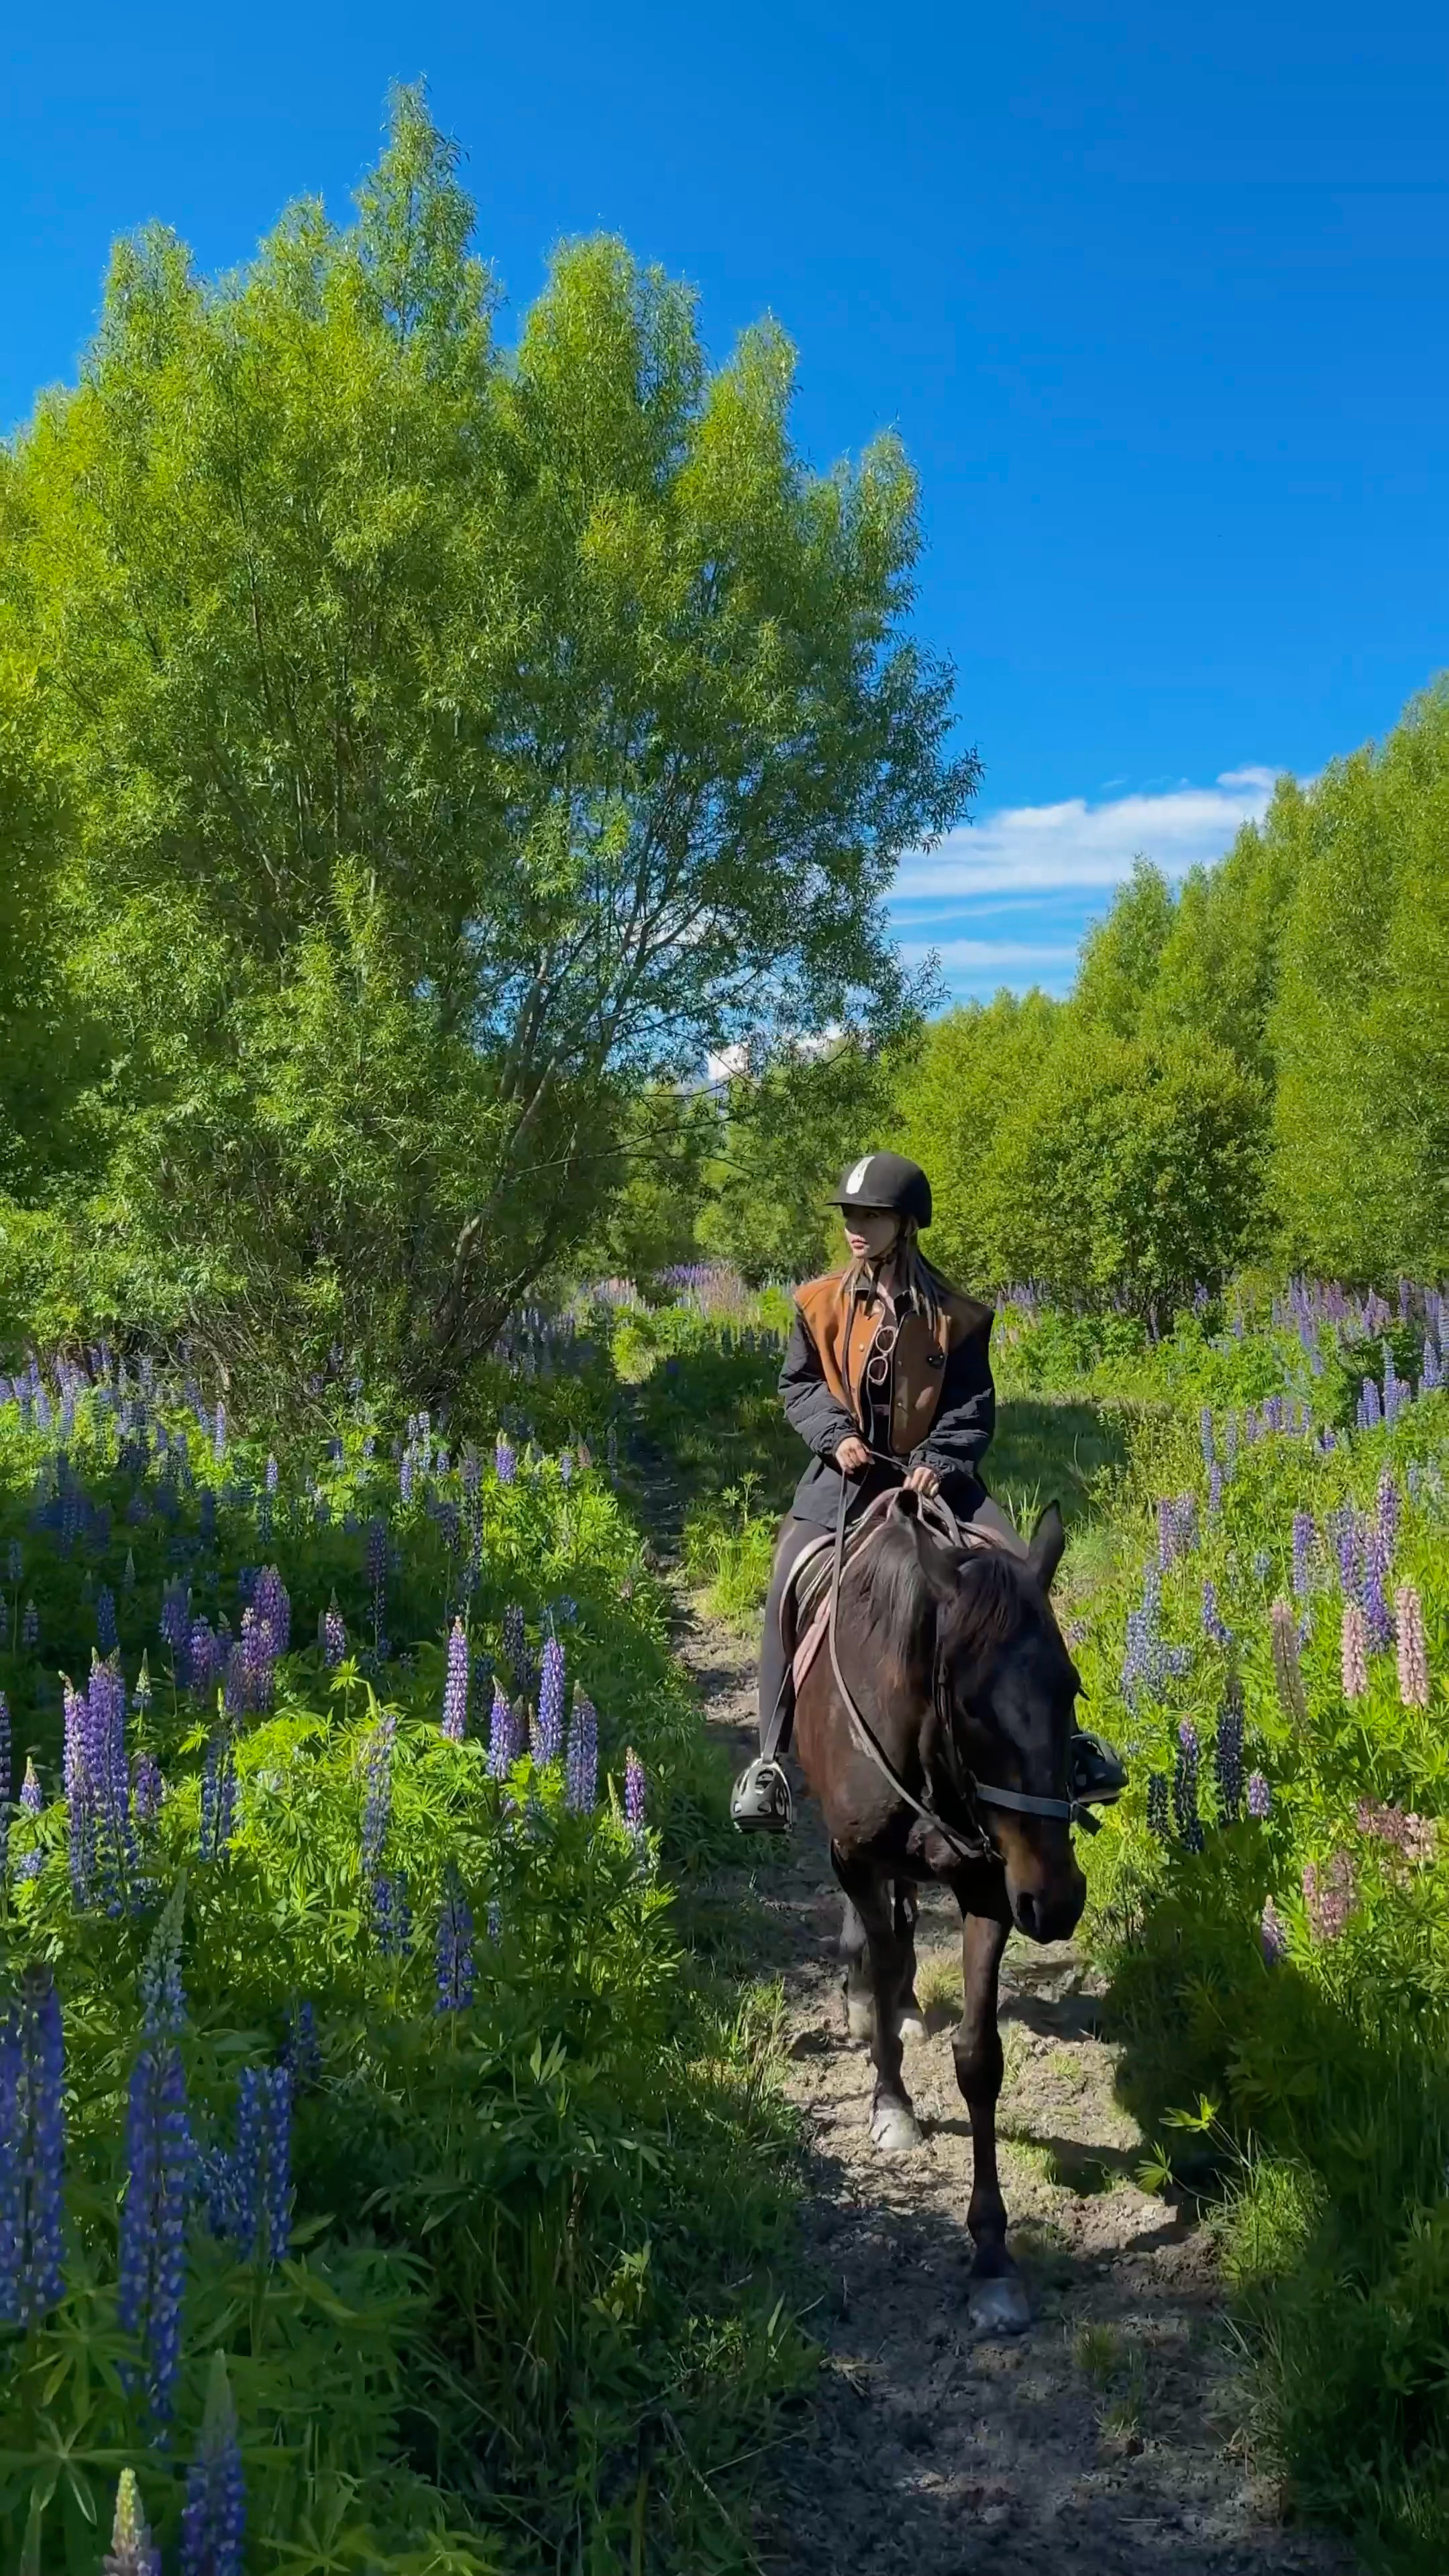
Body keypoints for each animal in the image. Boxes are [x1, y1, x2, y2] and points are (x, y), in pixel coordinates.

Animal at [789, 1494, 1083, 2339]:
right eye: (973, 1706)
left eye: (1071, 1689)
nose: (1058, 1900)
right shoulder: (858, 1856)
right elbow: (881, 1961)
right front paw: (891, 2105)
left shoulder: (990, 1885)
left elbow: (979, 2057)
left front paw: (992, 2258)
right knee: (880, 1936)